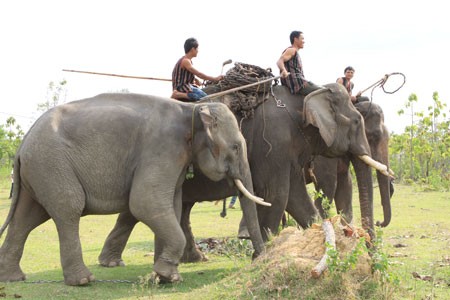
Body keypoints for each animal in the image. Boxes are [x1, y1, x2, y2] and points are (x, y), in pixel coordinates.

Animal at [0, 94, 268, 286]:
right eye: (235, 147)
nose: (257, 258)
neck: (192, 109)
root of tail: (23, 143)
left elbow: (170, 204)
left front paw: (166, 277)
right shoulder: (162, 148)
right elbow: (145, 202)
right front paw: (167, 275)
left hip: (39, 170)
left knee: (27, 217)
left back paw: (13, 278)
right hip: (52, 164)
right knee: (68, 208)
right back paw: (83, 281)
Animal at [97, 82, 390, 264]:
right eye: (357, 123)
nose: (372, 254)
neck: (308, 91)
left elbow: (296, 197)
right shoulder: (275, 142)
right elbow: (277, 194)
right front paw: (264, 256)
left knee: (180, 208)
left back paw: (191, 259)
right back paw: (113, 262)